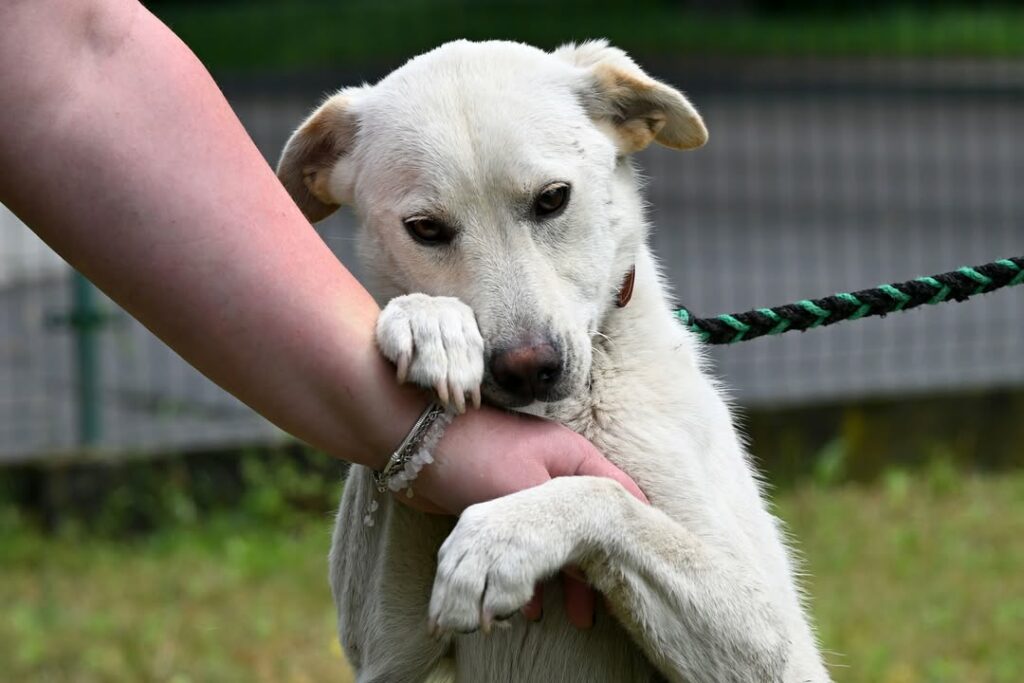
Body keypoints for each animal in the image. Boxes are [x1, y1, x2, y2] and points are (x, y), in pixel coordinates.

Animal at [277, 39, 831, 683]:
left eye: (553, 198)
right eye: (425, 229)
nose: (527, 369)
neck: (566, 410)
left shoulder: (772, 643)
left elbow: (605, 495)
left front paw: (503, 540)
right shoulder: (384, 653)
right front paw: (430, 322)